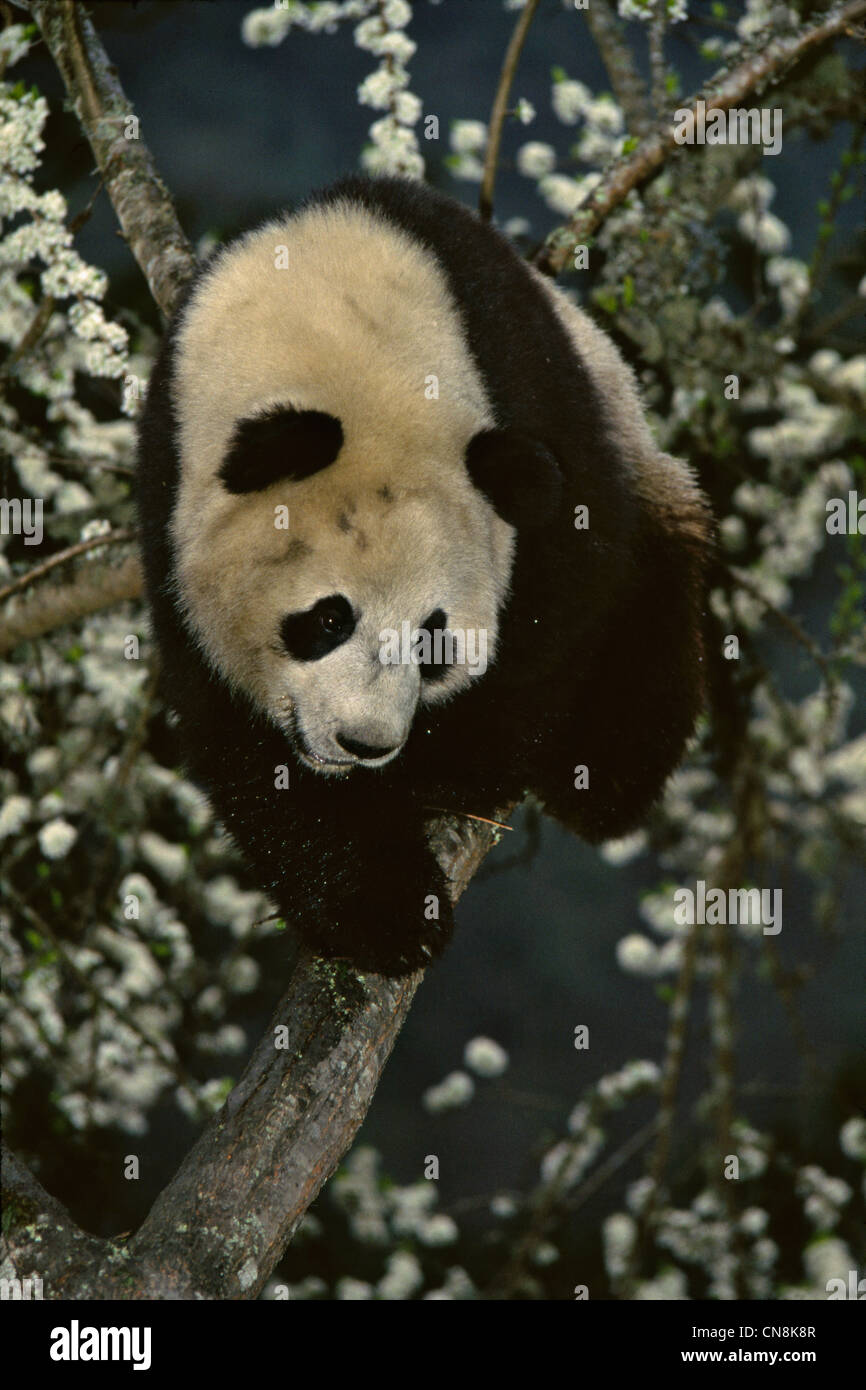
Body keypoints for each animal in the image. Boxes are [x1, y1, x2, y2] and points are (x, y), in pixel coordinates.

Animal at [136, 173, 711, 978]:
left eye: (434, 639)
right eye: (328, 618)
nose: (366, 744)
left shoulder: (534, 393)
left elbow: (557, 612)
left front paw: (448, 770)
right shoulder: (171, 494)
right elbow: (237, 732)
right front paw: (386, 910)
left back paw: (601, 778)